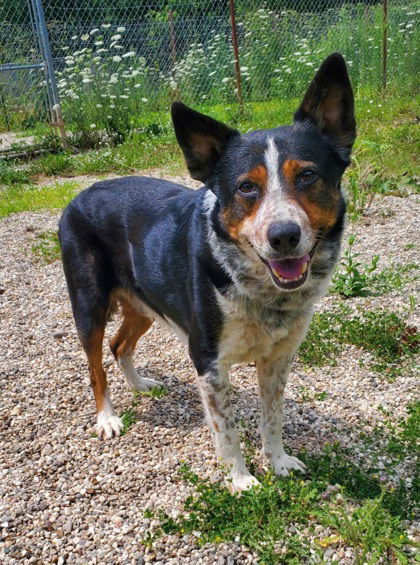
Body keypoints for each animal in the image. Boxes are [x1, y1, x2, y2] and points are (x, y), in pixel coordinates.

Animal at [59, 54, 354, 494]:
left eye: (307, 175)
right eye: (246, 187)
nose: (283, 236)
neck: (258, 289)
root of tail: (78, 195)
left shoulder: (278, 359)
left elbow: (273, 418)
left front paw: (277, 462)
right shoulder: (208, 362)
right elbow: (227, 430)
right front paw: (242, 480)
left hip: (145, 304)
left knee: (119, 345)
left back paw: (140, 385)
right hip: (88, 305)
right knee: (96, 365)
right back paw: (107, 418)